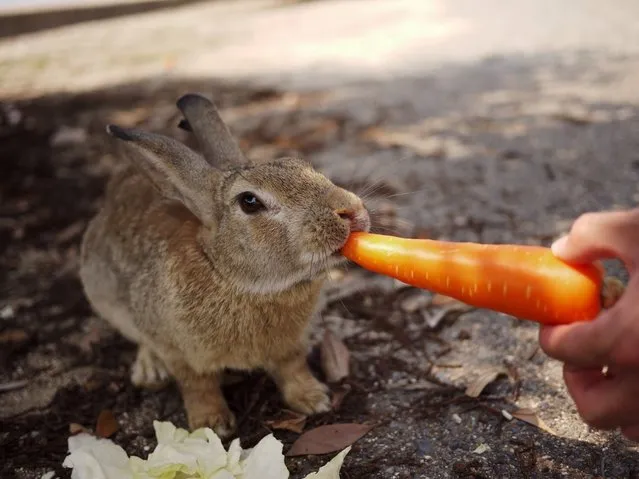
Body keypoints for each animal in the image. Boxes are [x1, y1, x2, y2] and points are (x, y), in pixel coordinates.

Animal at [79, 93, 370, 438]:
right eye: (249, 202)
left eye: (302, 166)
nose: (351, 211)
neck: (230, 275)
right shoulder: (179, 351)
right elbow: (197, 385)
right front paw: (211, 425)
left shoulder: (290, 345)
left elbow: (293, 367)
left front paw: (314, 399)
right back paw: (150, 371)